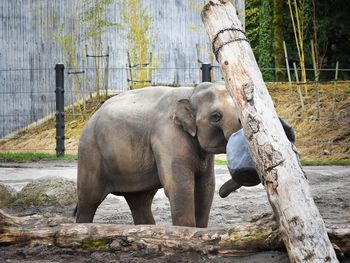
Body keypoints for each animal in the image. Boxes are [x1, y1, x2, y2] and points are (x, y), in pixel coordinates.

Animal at [75, 83, 242, 229]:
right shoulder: (168, 136)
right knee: (89, 200)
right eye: (215, 116)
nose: (223, 194)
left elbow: (205, 187)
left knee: (139, 201)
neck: (191, 92)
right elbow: (179, 187)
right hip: (90, 154)